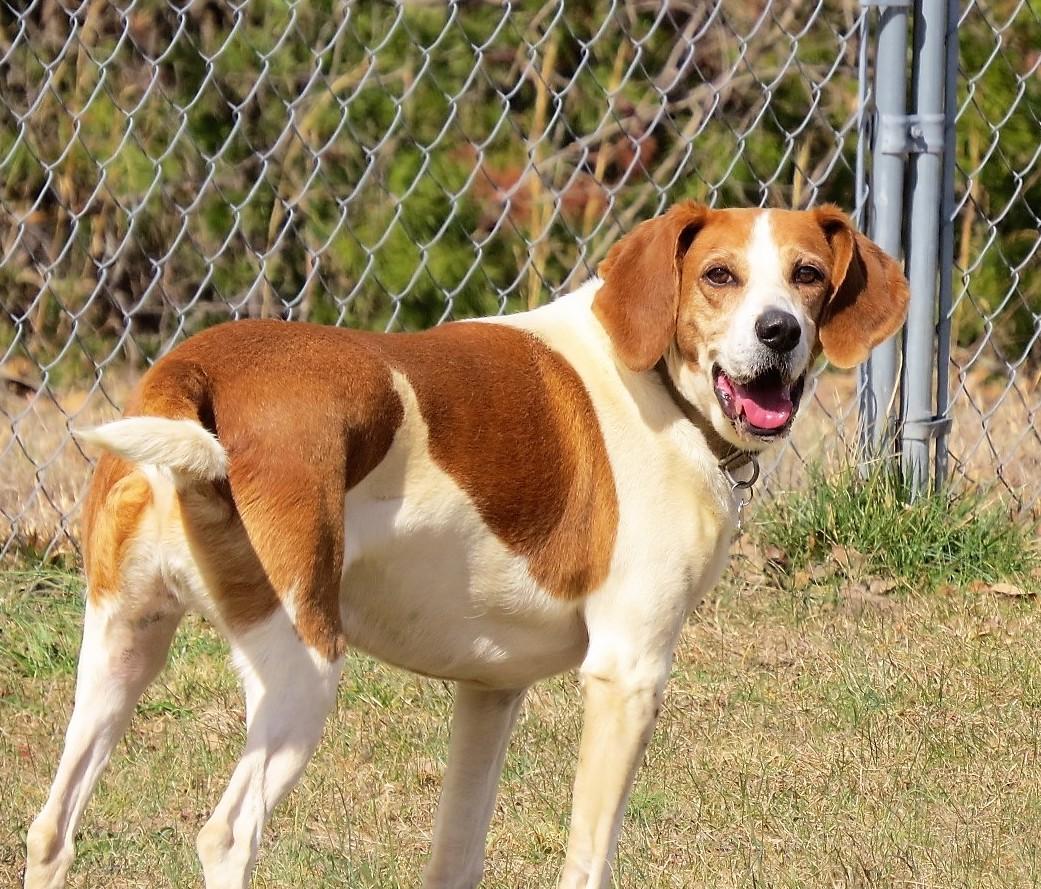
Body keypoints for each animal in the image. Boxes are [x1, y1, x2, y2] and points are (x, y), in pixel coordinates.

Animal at [22, 201, 903, 889]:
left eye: (807, 274)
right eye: (719, 275)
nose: (779, 331)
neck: (655, 383)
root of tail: (193, 369)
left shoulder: (489, 689)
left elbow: (455, 852)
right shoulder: (626, 675)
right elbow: (587, 858)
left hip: (120, 649)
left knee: (51, 828)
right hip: (302, 672)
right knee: (227, 835)